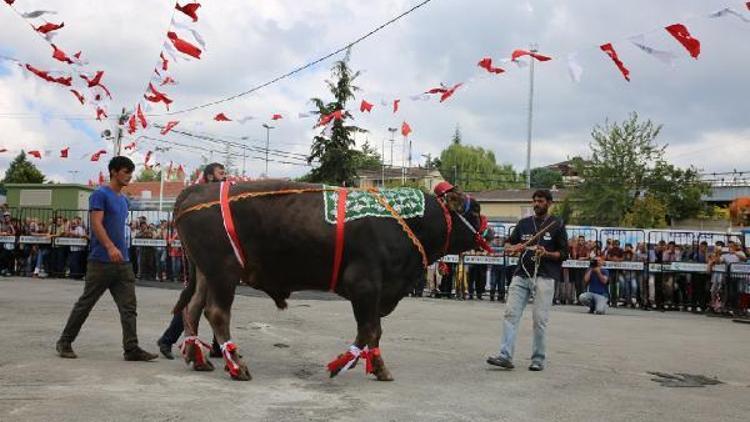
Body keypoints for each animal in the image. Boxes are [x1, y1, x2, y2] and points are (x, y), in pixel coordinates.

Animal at [173, 180, 484, 380]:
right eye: (477, 210)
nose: (490, 232)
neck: (405, 220)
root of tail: (195, 190)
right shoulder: (364, 285)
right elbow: (369, 329)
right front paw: (342, 365)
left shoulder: (376, 292)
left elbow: (375, 332)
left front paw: (378, 367)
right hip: (224, 272)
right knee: (216, 313)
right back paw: (238, 367)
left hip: (206, 273)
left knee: (193, 308)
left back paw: (198, 360)